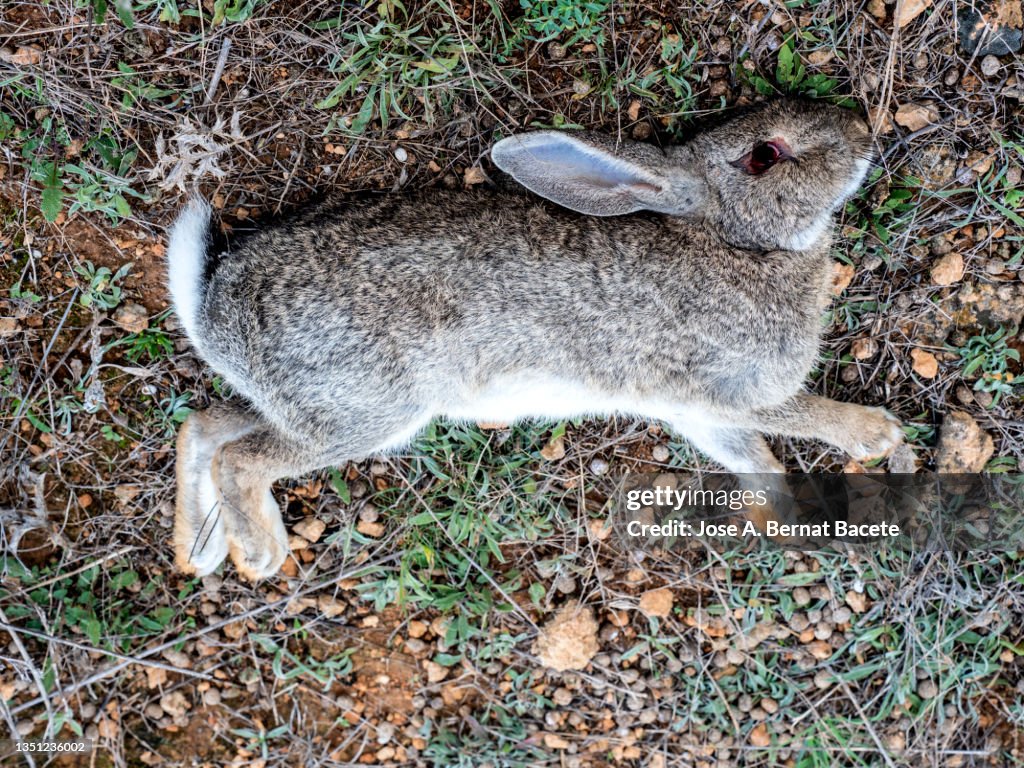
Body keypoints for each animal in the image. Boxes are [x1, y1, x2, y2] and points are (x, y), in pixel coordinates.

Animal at [165, 98, 903, 581]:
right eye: (764, 156)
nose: (862, 128)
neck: (736, 243)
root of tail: (215, 315)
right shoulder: (728, 387)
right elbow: (798, 416)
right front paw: (877, 435)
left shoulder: (698, 411)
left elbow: (754, 459)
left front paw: (793, 522)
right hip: (367, 409)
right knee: (242, 457)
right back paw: (259, 554)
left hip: (311, 402)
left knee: (204, 427)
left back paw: (200, 550)